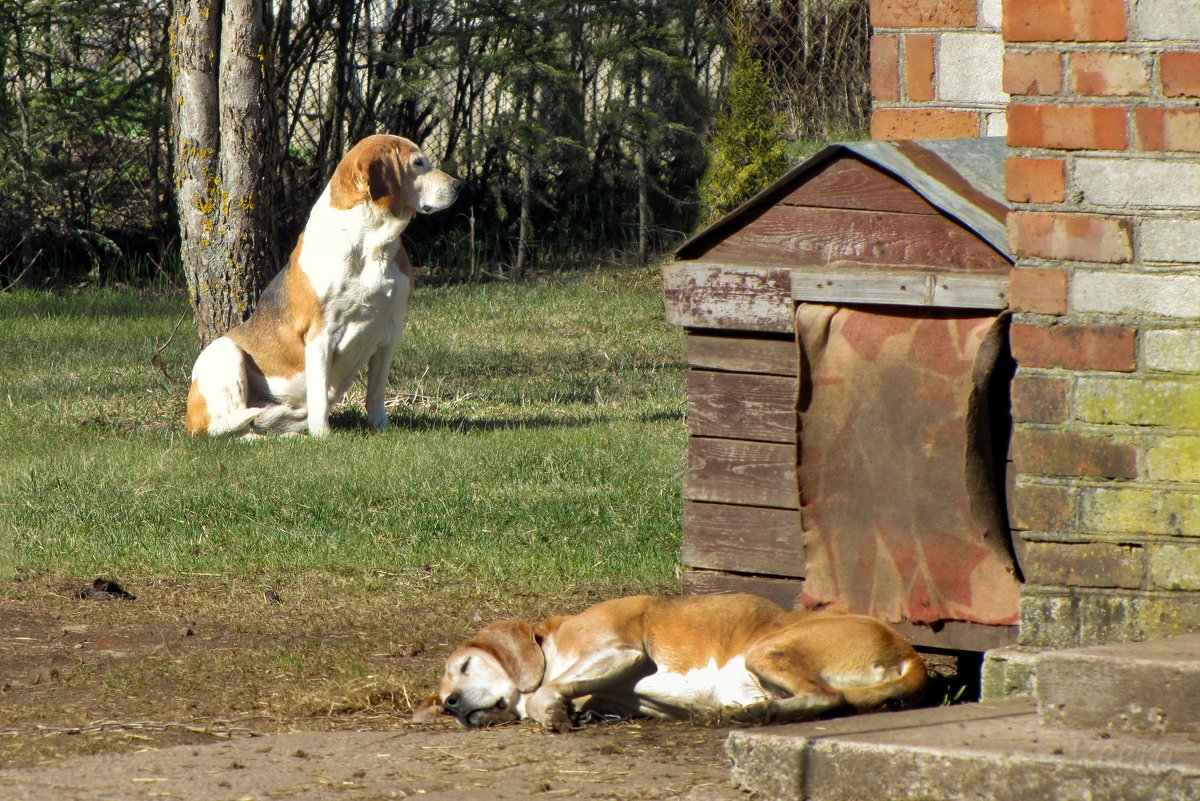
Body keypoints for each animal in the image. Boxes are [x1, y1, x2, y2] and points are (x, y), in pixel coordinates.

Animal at [186, 134, 458, 434]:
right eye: (418, 163)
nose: (458, 185)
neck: (370, 243)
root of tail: (189, 420)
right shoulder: (320, 335)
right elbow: (319, 396)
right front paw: (323, 436)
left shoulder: (390, 332)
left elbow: (376, 392)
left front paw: (380, 427)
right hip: (225, 352)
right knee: (226, 427)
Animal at [412, 594, 926, 733]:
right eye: (441, 700)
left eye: (465, 666)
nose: (452, 705)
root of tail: (906, 651)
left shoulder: (623, 651)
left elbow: (543, 691)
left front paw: (552, 709)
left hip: (766, 651)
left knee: (829, 696)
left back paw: (767, 712)